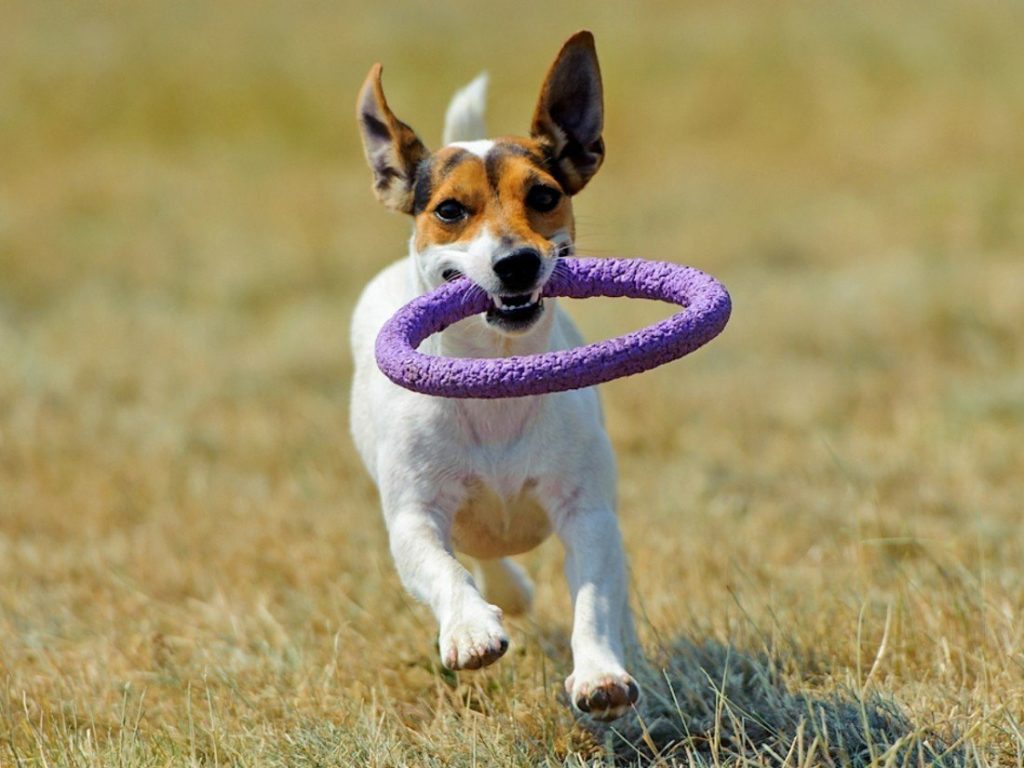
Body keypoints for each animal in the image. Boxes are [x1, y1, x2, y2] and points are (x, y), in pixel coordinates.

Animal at [352, 33, 638, 724]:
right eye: (450, 210)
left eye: (543, 196)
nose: (516, 263)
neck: (495, 377)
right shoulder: (414, 517)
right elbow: (442, 568)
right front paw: (470, 630)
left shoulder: (589, 514)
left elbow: (594, 598)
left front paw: (600, 674)